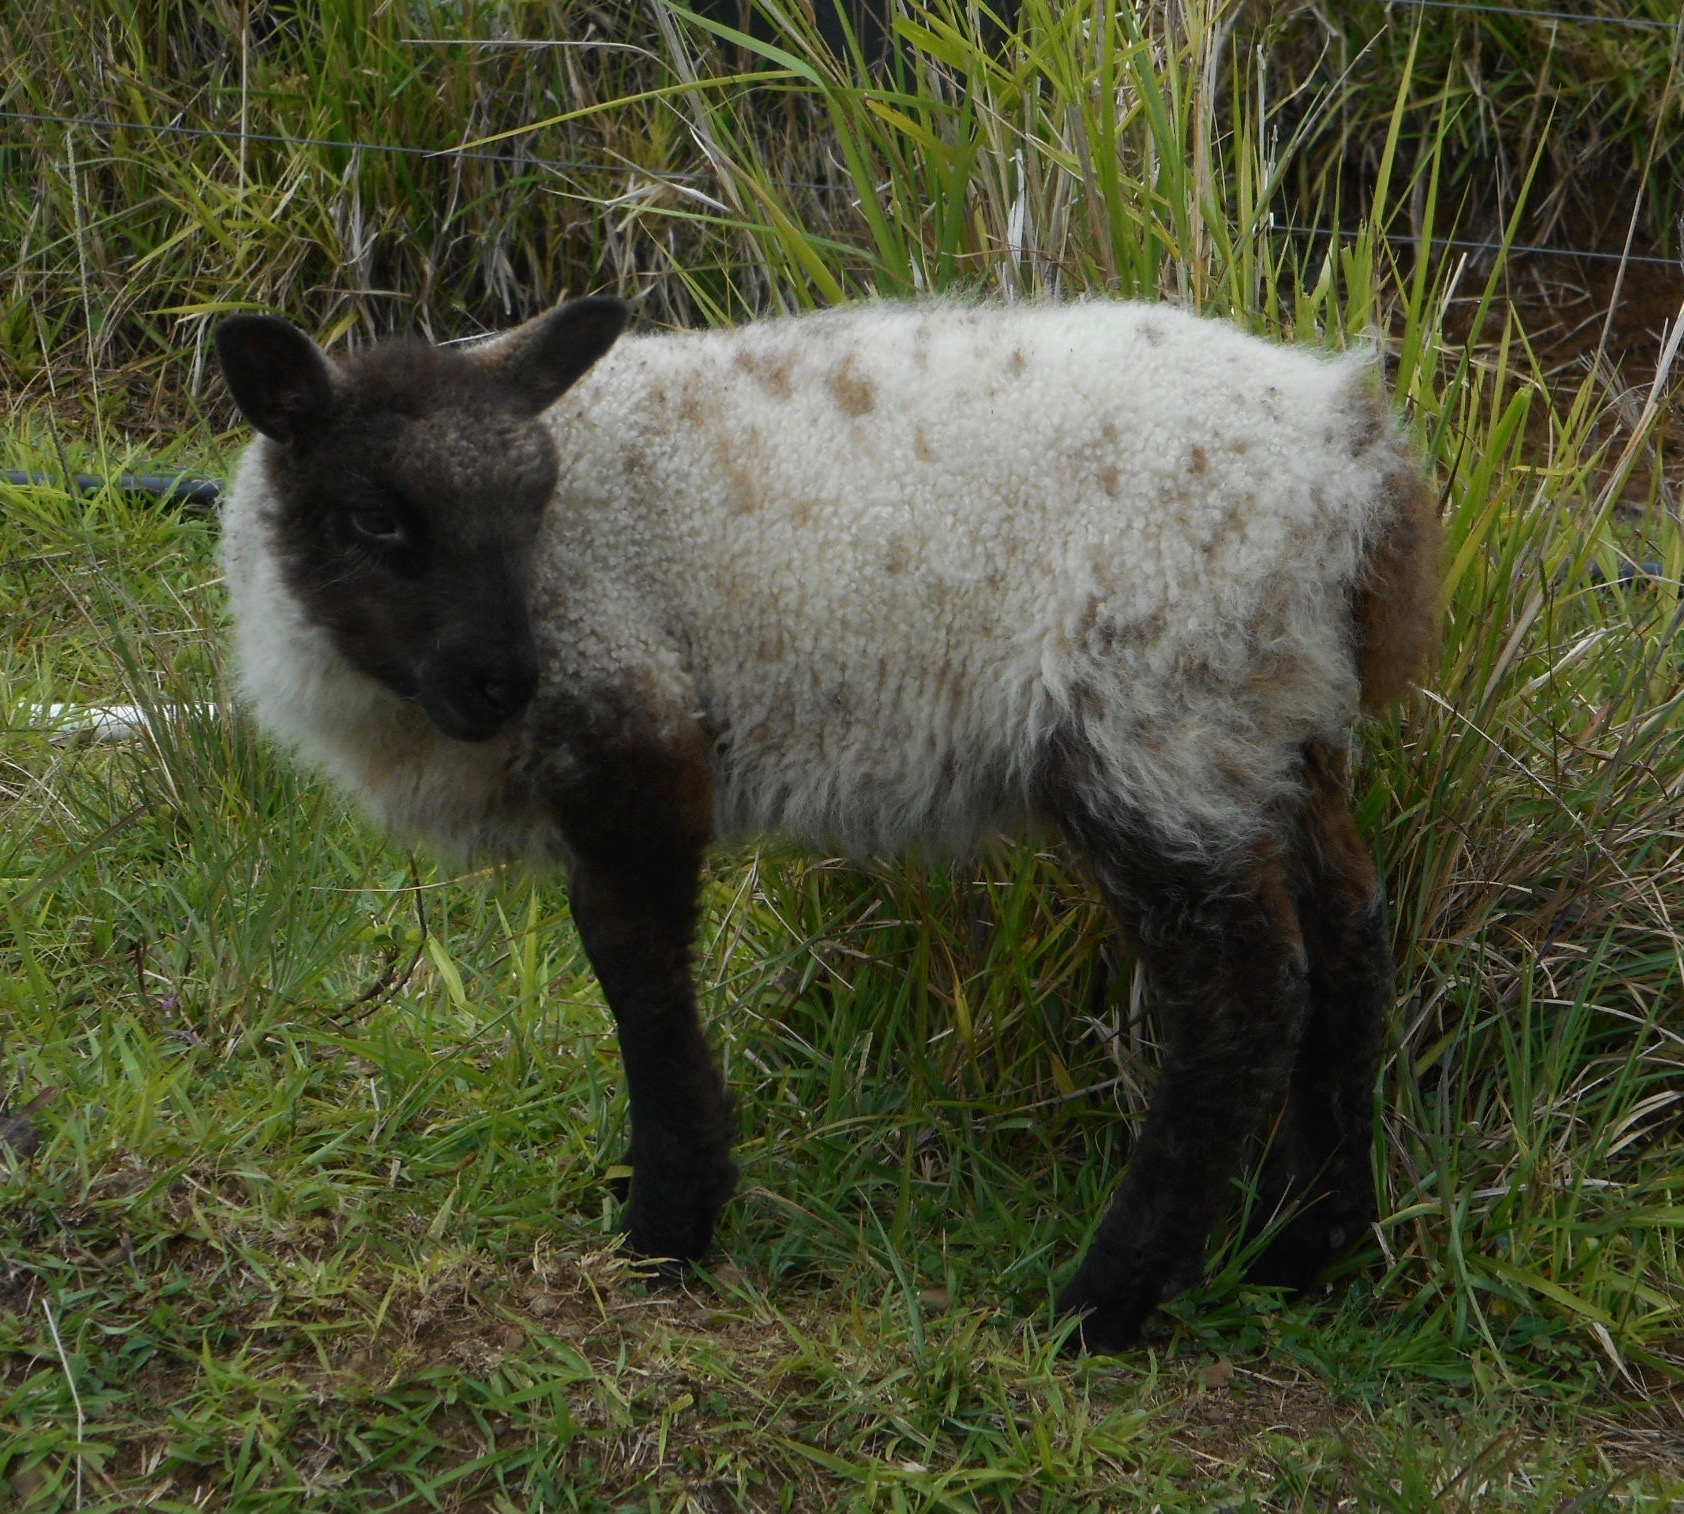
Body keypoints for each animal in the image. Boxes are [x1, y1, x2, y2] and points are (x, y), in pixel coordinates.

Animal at [217, 296, 1441, 1347]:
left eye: (533, 505)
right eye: (375, 518)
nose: (501, 683)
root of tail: (1348, 448)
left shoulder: (632, 718)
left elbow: (637, 976)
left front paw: (666, 1230)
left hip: (1158, 711)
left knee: (1243, 998)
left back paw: (1100, 1303)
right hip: (1273, 714)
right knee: (1350, 933)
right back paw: (1304, 1247)